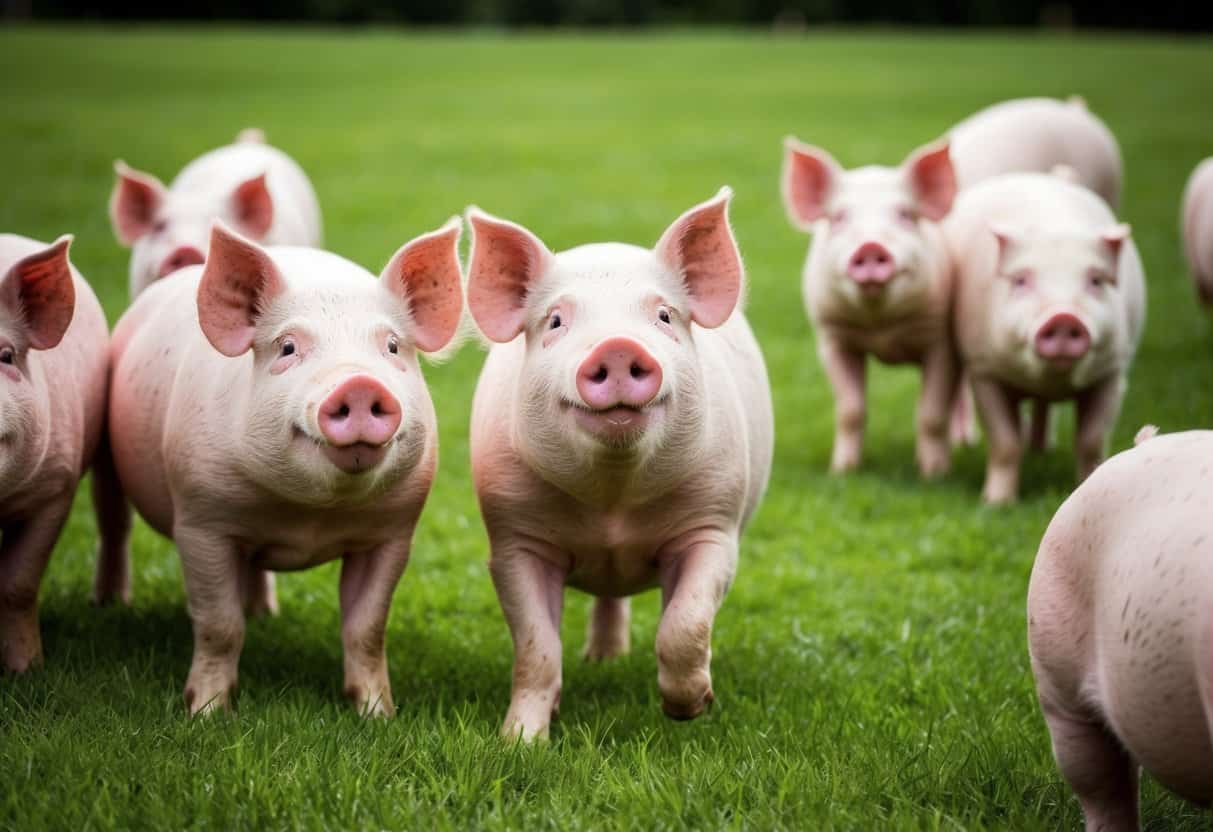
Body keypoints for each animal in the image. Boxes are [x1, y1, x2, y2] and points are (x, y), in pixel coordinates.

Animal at [99, 219, 463, 716]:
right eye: (288, 347)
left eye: (391, 346)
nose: (359, 383)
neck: (308, 516)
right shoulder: (200, 520)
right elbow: (219, 624)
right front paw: (206, 714)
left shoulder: (392, 531)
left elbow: (367, 628)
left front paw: (377, 715)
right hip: (106, 451)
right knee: (114, 525)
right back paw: (110, 606)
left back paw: (263, 612)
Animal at [465, 189, 773, 741]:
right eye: (556, 321)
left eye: (665, 317)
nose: (617, 346)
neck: (613, 505)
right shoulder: (515, 537)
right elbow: (537, 648)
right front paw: (519, 742)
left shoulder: (715, 523)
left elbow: (685, 623)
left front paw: (689, 709)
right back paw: (601, 661)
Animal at [781, 137, 961, 477]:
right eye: (839, 217)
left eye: (905, 215)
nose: (870, 246)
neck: (881, 327)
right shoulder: (833, 339)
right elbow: (850, 410)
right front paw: (842, 471)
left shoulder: (941, 342)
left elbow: (931, 413)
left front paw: (933, 475)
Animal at [944, 172, 1146, 504]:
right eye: (1021, 280)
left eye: (1095, 280)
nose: (1063, 317)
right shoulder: (984, 369)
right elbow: (1005, 441)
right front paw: (996, 503)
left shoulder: (1113, 370)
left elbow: (1091, 440)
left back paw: (1040, 449)